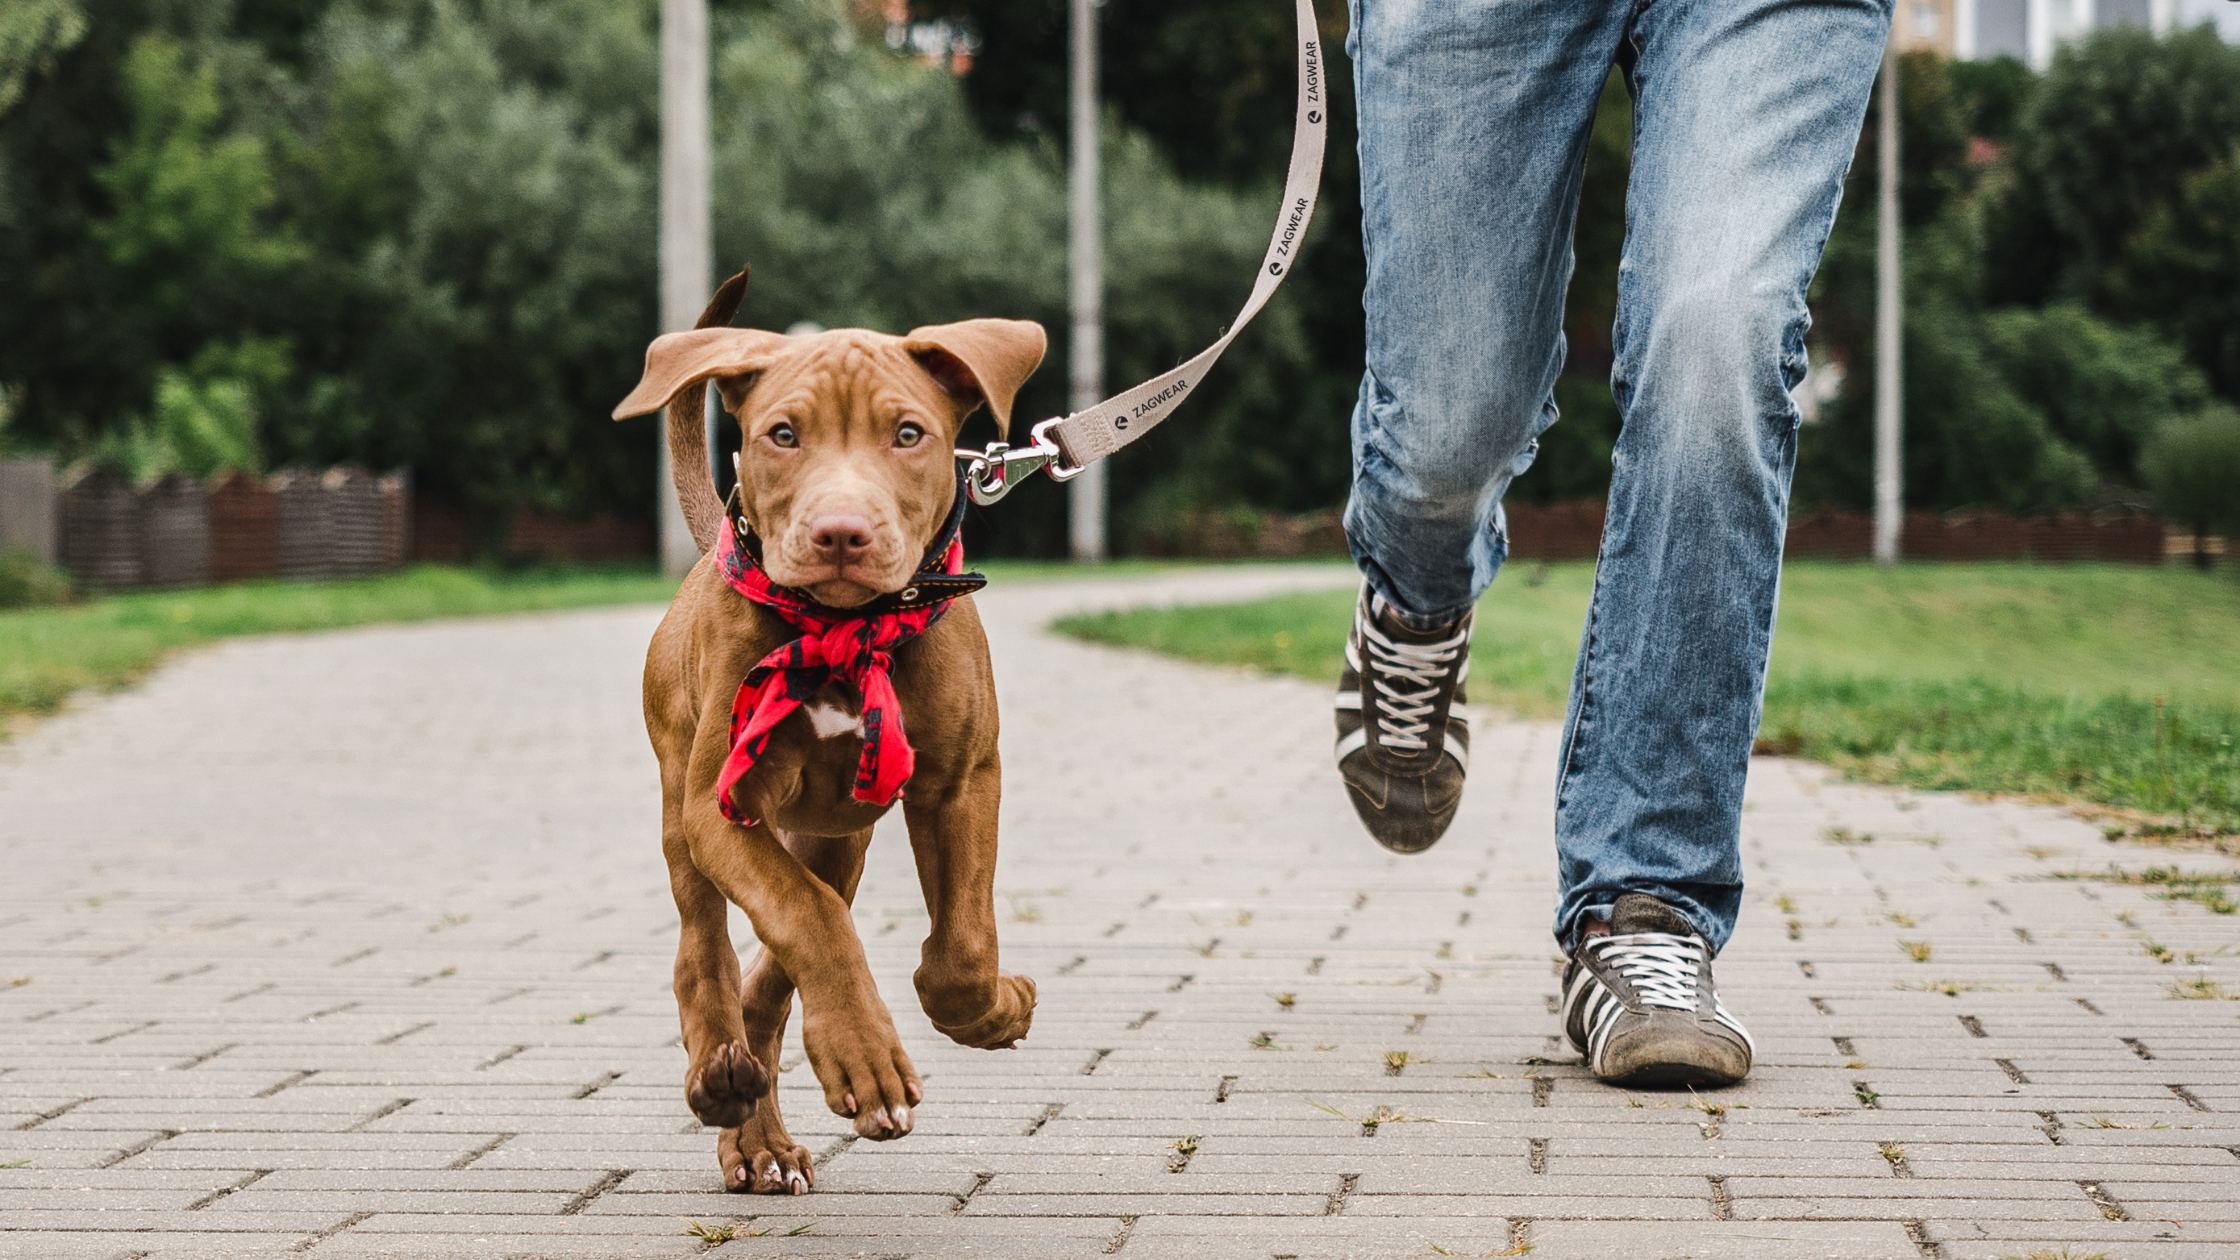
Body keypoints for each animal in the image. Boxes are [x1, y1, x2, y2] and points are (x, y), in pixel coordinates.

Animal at [618, 270, 1043, 1192]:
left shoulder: (962, 782)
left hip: (836, 834)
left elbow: (960, 947)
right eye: (783, 435)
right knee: (707, 951)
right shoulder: (721, 807)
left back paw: (754, 1125)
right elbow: (806, 919)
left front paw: (993, 1010)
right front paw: (864, 1056)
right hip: (680, 803)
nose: (840, 534)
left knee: (776, 971)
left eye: (909, 434)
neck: (846, 629)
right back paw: (722, 1077)